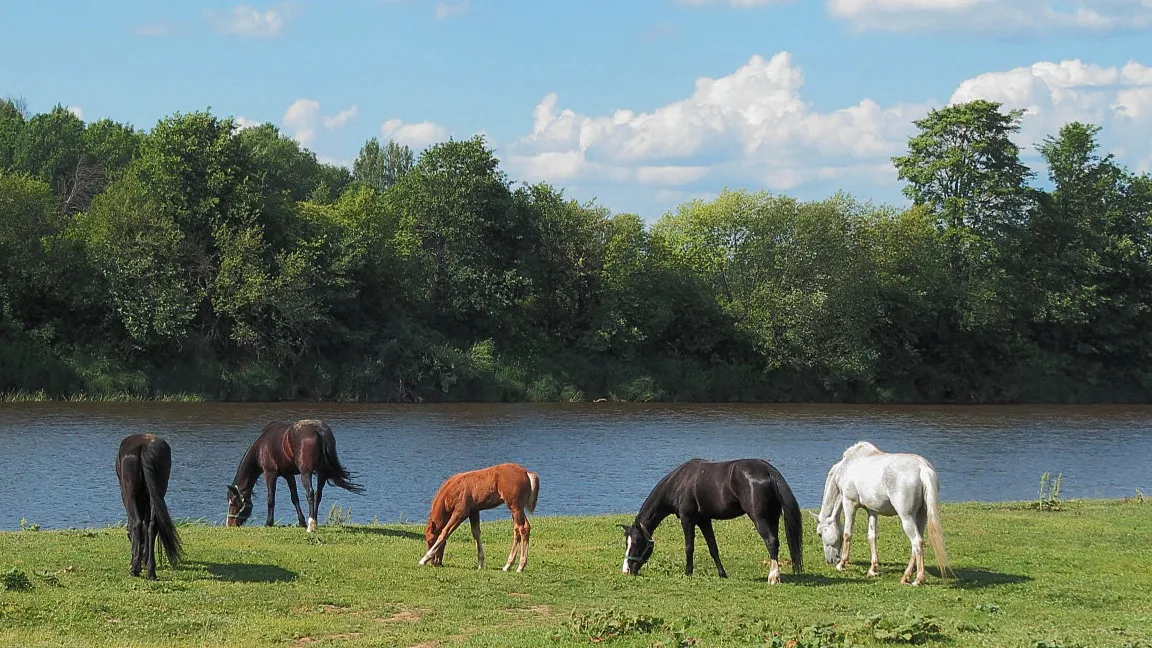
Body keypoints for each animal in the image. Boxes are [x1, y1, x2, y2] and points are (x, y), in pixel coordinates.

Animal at [116, 431, 182, 576]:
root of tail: (145, 446)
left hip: (129, 494)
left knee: (137, 523)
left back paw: (135, 569)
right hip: (157, 492)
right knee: (152, 525)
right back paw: (151, 571)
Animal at [225, 419, 364, 530]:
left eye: (232, 503)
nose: (229, 524)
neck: (262, 446)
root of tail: (319, 431)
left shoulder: (270, 474)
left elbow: (271, 499)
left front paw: (269, 523)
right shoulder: (288, 475)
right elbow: (294, 498)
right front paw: (301, 522)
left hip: (305, 473)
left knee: (310, 493)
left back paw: (311, 525)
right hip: (321, 473)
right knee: (318, 495)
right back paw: (314, 522)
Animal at [622, 456, 801, 583]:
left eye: (637, 542)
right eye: (627, 543)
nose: (626, 571)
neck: (679, 482)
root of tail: (769, 471)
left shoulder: (687, 519)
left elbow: (689, 547)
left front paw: (688, 573)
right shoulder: (704, 520)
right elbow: (713, 548)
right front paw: (722, 574)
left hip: (760, 518)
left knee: (771, 542)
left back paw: (773, 577)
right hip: (773, 517)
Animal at [820, 438, 953, 585]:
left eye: (820, 534)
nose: (830, 560)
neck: (848, 464)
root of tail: (922, 467)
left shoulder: (849, 503)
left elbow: (847, 534)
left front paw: (842, 564)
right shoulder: (872, 510)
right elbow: (872, 536)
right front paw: (872, 569)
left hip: (906, 517)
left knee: (917, 541)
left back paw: (918, 579)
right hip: (921, 516)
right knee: (918, 543)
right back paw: (906, 576)